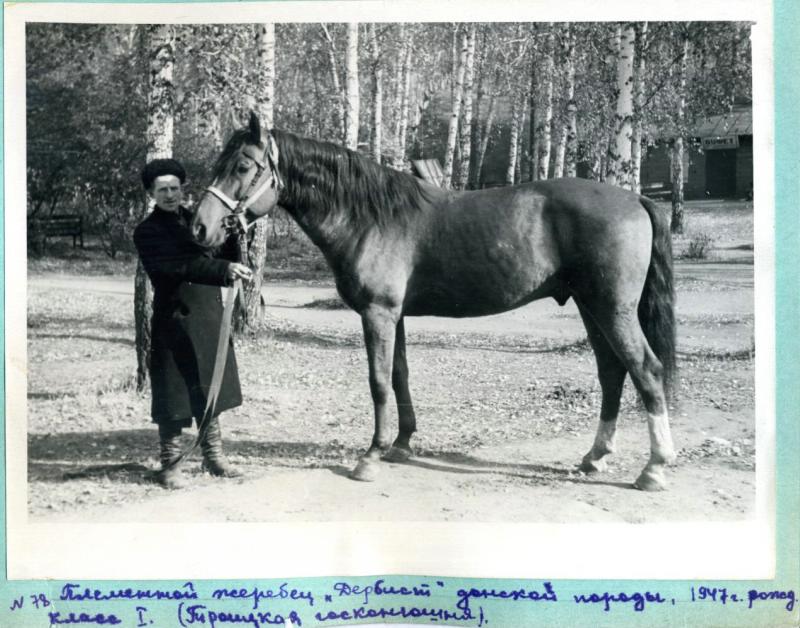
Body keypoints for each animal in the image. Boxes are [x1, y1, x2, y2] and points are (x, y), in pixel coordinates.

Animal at [192, 115, 676, 494]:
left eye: (242, 166)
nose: (200, 227)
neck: (372, 217)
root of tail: (635, 198)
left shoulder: (378, 314)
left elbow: (378, 382)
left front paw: (371, 456)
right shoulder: (396, 316)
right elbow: (400, 376)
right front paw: (402, 444)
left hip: (611, 309)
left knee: (646, 370)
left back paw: (654, 468)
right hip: (591, 306)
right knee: (612, 373)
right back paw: (595, 456)